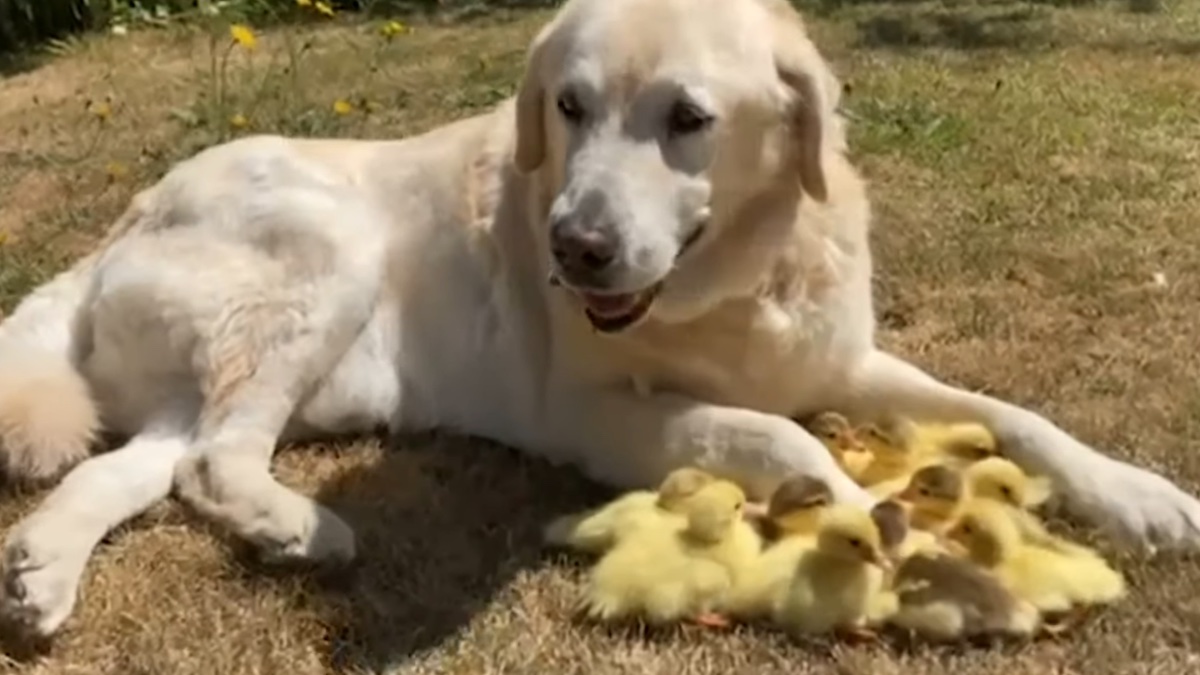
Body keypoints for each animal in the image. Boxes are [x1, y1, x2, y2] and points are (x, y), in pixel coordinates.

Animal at [2, 0, 1200, 634]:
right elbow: (784, 438)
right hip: (328, 253)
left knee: (143, 466)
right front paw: (912, 550)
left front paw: (1140, 497)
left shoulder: (840, 360)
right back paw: (303, 528)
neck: (738, 282)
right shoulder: (591, 413)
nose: (571, 250)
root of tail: (127, 213)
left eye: (689, 120)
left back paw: (41, 571)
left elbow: (1013, 414)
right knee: (214, 462)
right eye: (568, 107)